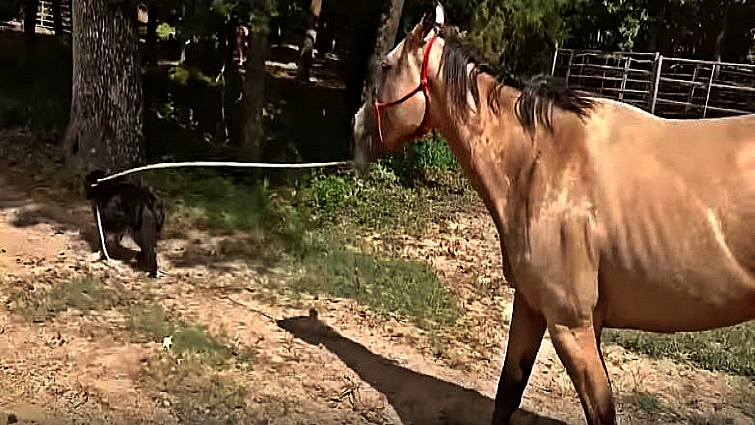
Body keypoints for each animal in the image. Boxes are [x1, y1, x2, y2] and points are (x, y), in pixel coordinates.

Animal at [351, 4, 755, 425]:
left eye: (386, 66)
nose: (356, 127)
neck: (545, 159)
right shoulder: (531, 307)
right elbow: (508, 391)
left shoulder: (571, 326)